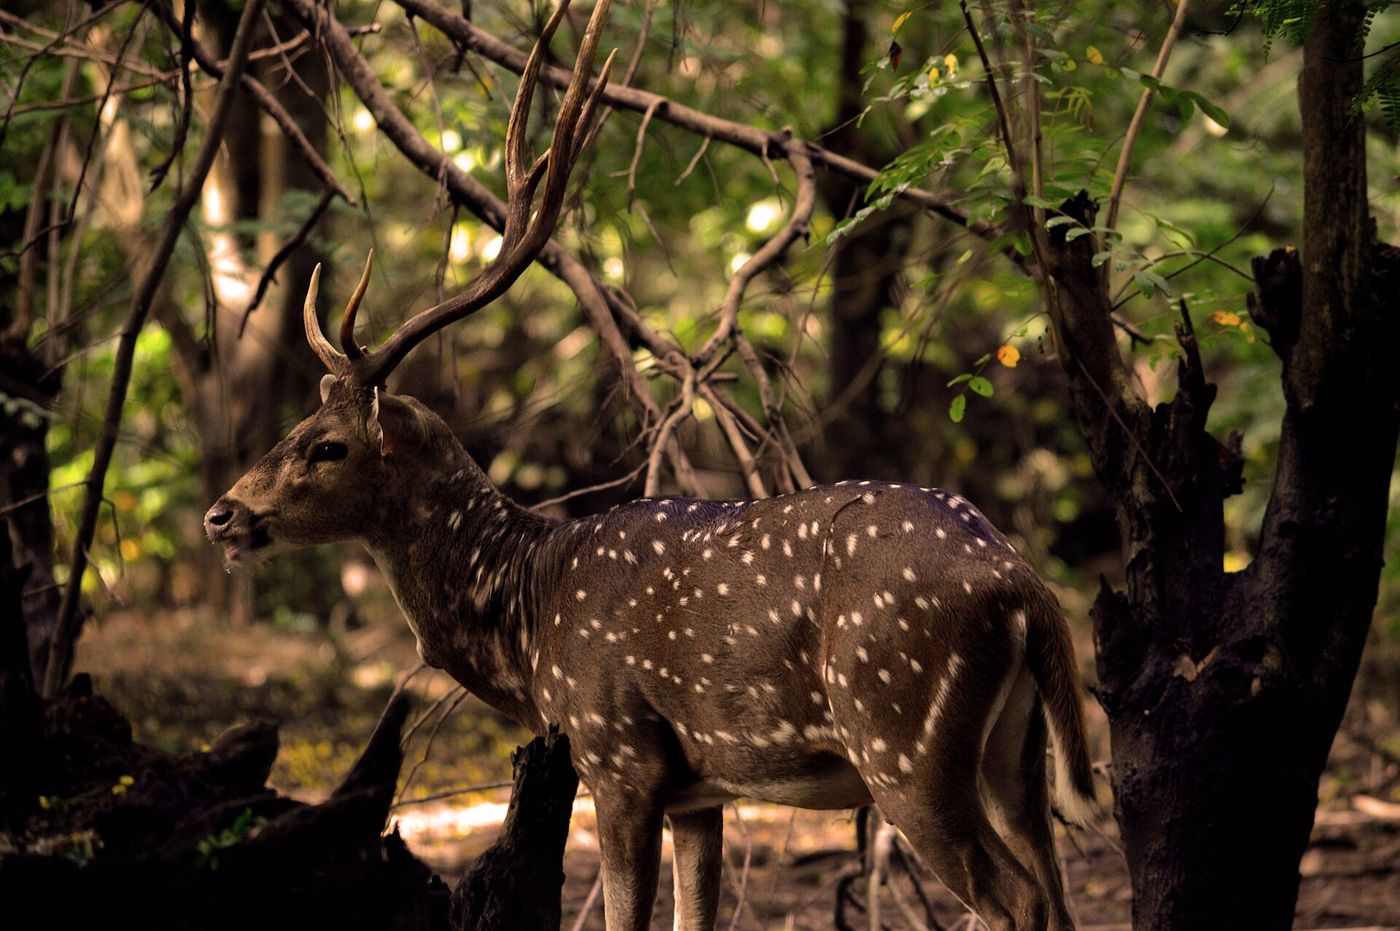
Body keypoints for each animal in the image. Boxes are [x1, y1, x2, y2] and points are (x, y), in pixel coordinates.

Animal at [203, 3, 1097, 928]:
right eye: (303, 422)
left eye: (328, 445)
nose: (221, 513)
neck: (529, 618)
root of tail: (1020, 584)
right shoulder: (701, 791)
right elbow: (691, 912)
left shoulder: (617, 754)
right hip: (1014, 752)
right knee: (1053, 881)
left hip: (901, 732)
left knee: (1017, 895)